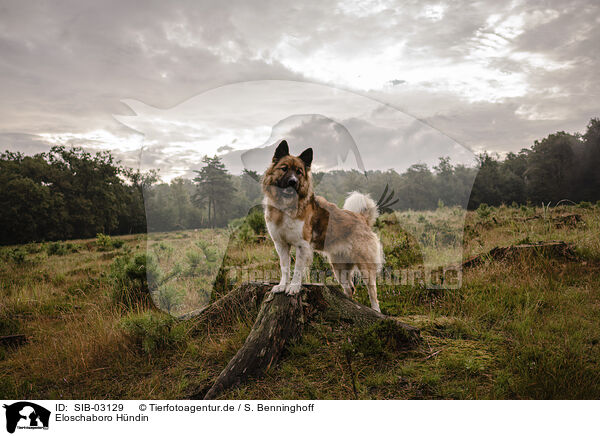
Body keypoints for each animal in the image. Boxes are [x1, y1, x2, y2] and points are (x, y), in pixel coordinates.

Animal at [262, 141, 384, 314]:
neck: (286, 206)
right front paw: (282, 286)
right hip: (339, 267)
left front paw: (293, 288)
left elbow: (297, 269)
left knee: (372, 292)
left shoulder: (302, 246)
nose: (293, 181)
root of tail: (362, 218)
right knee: (350, 288)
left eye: (299, 172)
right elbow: (284, 267)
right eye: (284, 168)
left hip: (365, 266)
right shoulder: (281, 245)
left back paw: (375, 311)